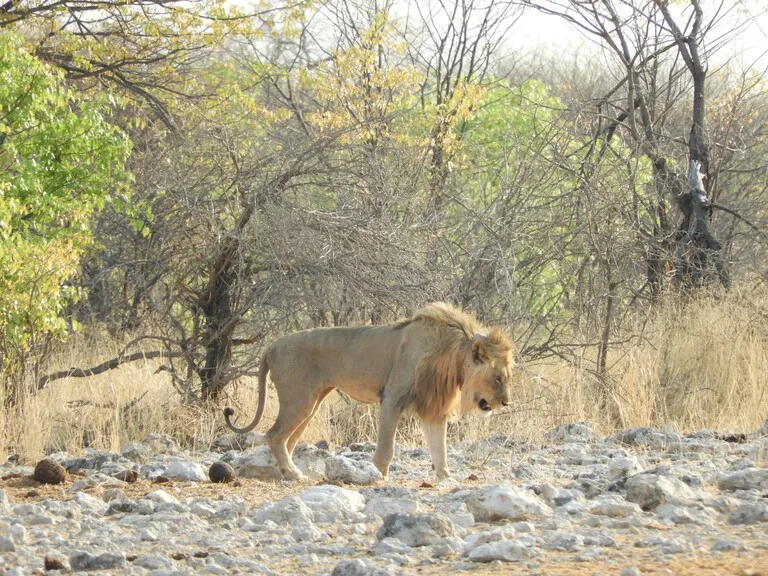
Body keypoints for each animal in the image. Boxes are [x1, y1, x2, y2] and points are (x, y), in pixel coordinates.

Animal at [224, 302, 516, 482]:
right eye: (498, 377)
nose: (506, 403)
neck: (450, 355)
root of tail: (270, 347)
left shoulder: (432, 408)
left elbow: (439, 448)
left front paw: (446, 477)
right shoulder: (392, 399)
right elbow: (386, 448)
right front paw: (376, 475)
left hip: (310, 402)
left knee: (287, 439)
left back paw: (290, 472)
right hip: (300, 399)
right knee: (274, 435)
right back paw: (293, 473)